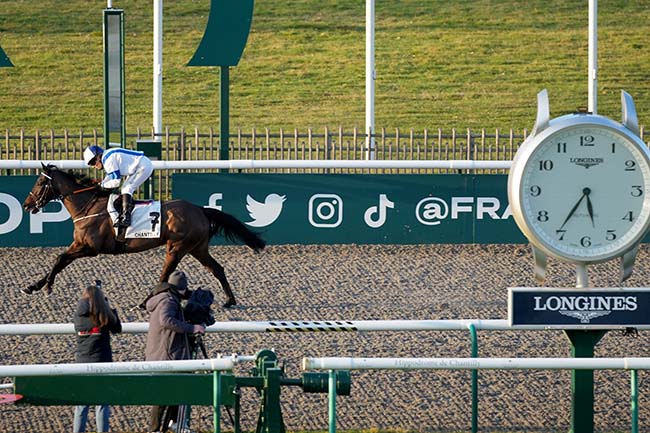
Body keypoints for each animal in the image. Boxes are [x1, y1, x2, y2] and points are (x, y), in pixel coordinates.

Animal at [22, 163, 266, 308]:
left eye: (41, 182)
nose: (26, 205)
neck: (88, 207)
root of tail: (200, 209)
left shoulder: (89, 248)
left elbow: (59, 259)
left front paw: (47, 286)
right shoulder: (79, 244)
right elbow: (59, 261)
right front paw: (32, 286)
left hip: (177, 248)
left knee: (164, 277)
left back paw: (144, 302)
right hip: (197, 248)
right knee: (217, 269)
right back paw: (229, 300)